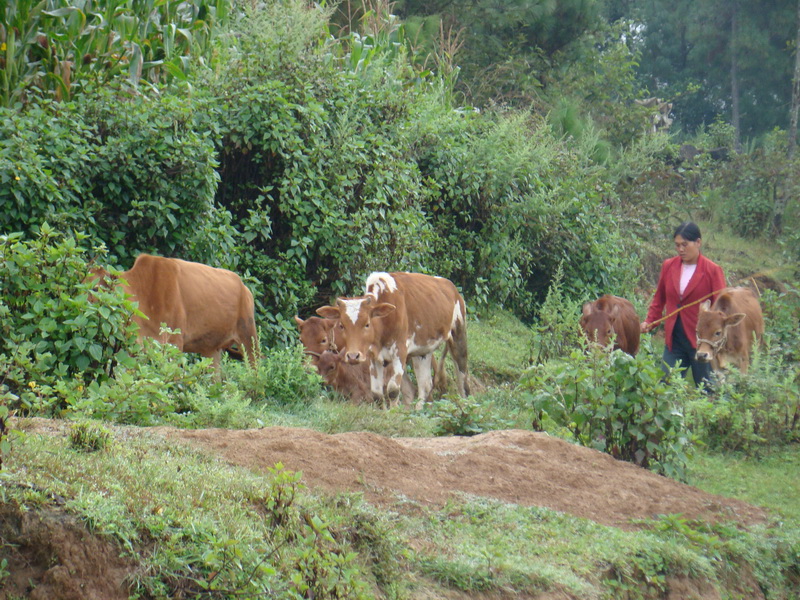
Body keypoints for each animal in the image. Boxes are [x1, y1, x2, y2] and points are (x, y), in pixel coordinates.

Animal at [93, 254, 256, 376]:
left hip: (249, 337)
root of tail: (244, 287)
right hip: (212, 350)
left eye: (95, 287)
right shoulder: (136, 347)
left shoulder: (175, 342)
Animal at [318, 270, 468, 408]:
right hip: (423, 351)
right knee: (425, 386)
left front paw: (394, 413)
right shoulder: (373, 355)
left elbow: (393, 390)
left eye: (367, 324)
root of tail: (453, 289)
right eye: (342, 325)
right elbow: (377, 393)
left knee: (463, 380)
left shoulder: (399, 352)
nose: (353, 356)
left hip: (458, 335)